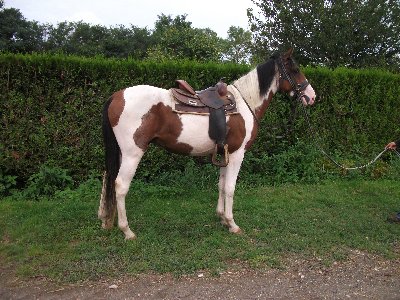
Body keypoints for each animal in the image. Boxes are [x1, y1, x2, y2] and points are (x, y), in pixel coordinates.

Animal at [97, 48, 316, 239]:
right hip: (133, 153)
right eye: (295, 70)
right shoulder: (237, 154)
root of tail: (116, 96)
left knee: (108, 177)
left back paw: (105, 219)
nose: (312, 97)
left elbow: (221, 185)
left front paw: (222, 219)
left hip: (120, 152)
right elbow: (230, 187)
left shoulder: (224, 152)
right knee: (120, 185)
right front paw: (232, 224)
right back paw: (127, 231)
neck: (245, 103)